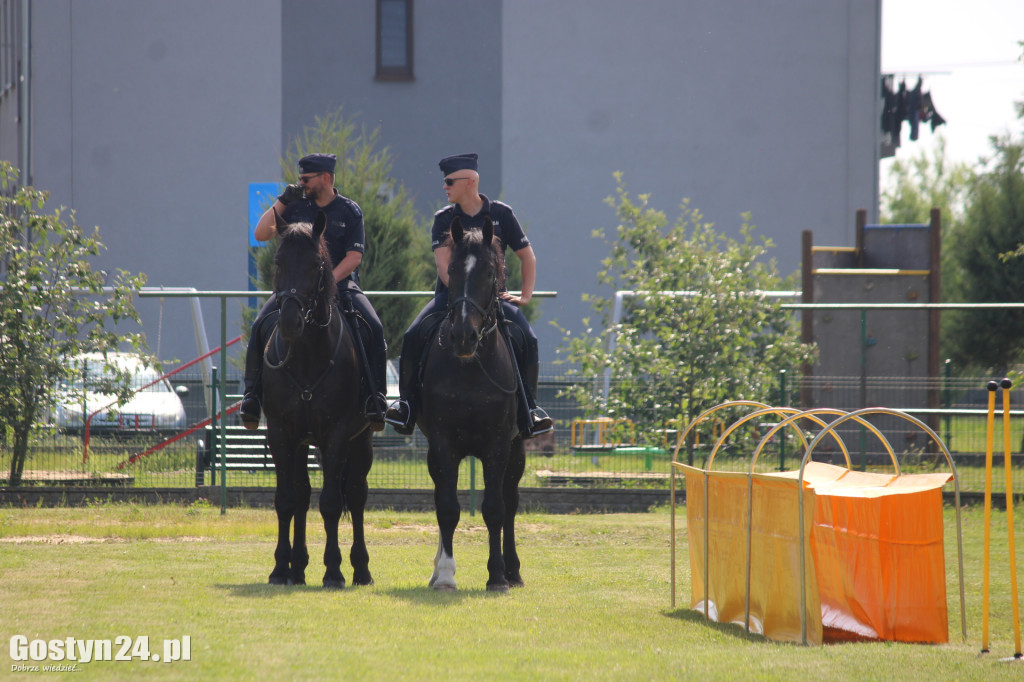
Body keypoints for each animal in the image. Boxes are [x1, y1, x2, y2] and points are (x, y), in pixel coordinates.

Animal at [262, 209, 374, 585]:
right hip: (301, 442)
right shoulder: (280, 433)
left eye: (315, 265)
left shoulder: (337, 435)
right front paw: (280, 567)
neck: (307, 356)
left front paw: (334, 570)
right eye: (279, 262)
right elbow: (286, 499)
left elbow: (331, 503)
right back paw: (297, 568)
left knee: (355, 494)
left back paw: (361, 569)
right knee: (301, 493)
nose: (290, 322)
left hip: (360, 440)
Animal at [417, 214, 524, 589]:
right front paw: (446, 574)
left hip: (517, 450)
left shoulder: (498, 445)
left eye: (490, 273)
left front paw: (498, 576)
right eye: (452, 270)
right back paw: (437, 569)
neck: (472, 369)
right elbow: (447, 507)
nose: (464, 335)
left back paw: (514, 570)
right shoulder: (443, 444)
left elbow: (494, 509)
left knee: (510, 502)